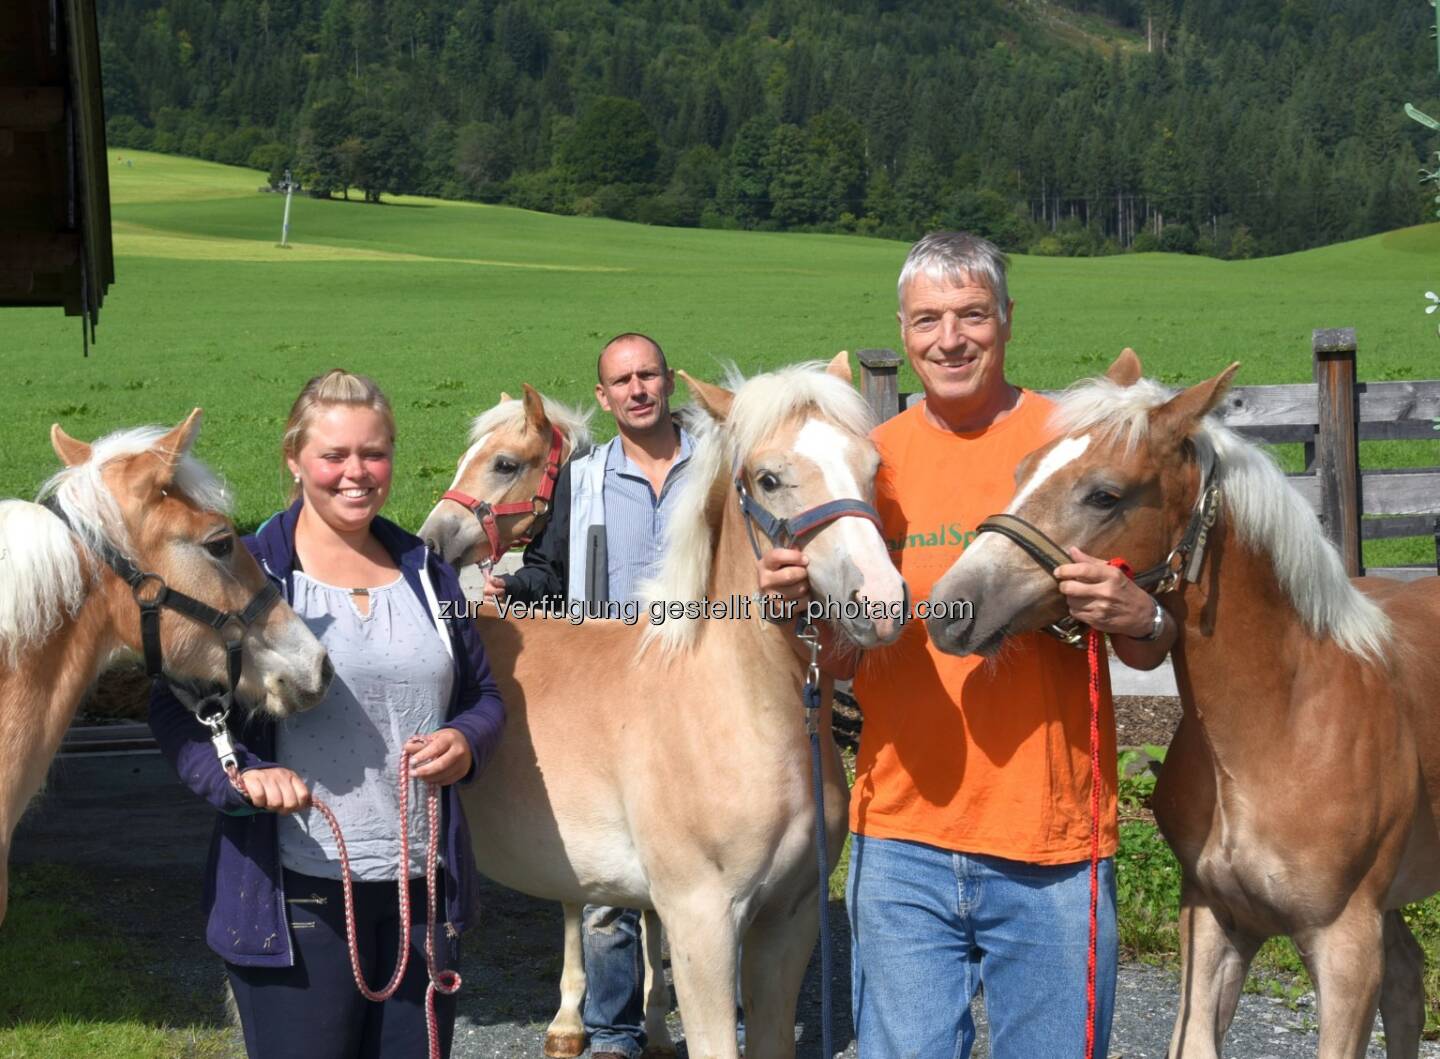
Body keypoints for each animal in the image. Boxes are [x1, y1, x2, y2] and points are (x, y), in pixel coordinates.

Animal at [420, 354, 904, 1059]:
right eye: (769, 478)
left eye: (872, 466)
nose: (881, 599)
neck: (733, 707)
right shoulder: (701, 921)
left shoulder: (787, 924)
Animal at [921, 354, 1440, 1059]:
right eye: (1024, 469)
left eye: (1105, 495)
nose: (951, 608)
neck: (1280, 728)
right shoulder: (1214, 917)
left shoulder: (1346, 944)